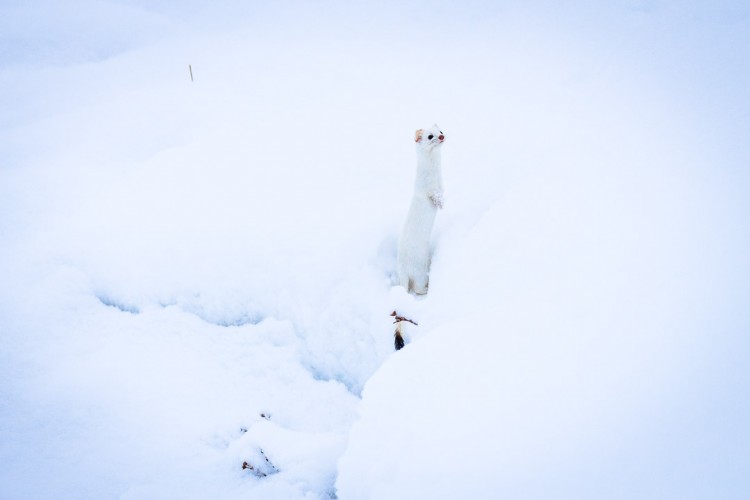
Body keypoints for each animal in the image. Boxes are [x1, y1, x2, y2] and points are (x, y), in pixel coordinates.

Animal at [394, 125, 446, 294]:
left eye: (440, 131)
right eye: (430, 136)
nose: (442, 137)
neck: (435, 175)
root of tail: (402, 270)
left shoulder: (441, 185)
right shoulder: (425, 189)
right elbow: (432, 196)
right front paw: (440, 204)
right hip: (420, 272)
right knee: (416, 287)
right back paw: (426, 288)